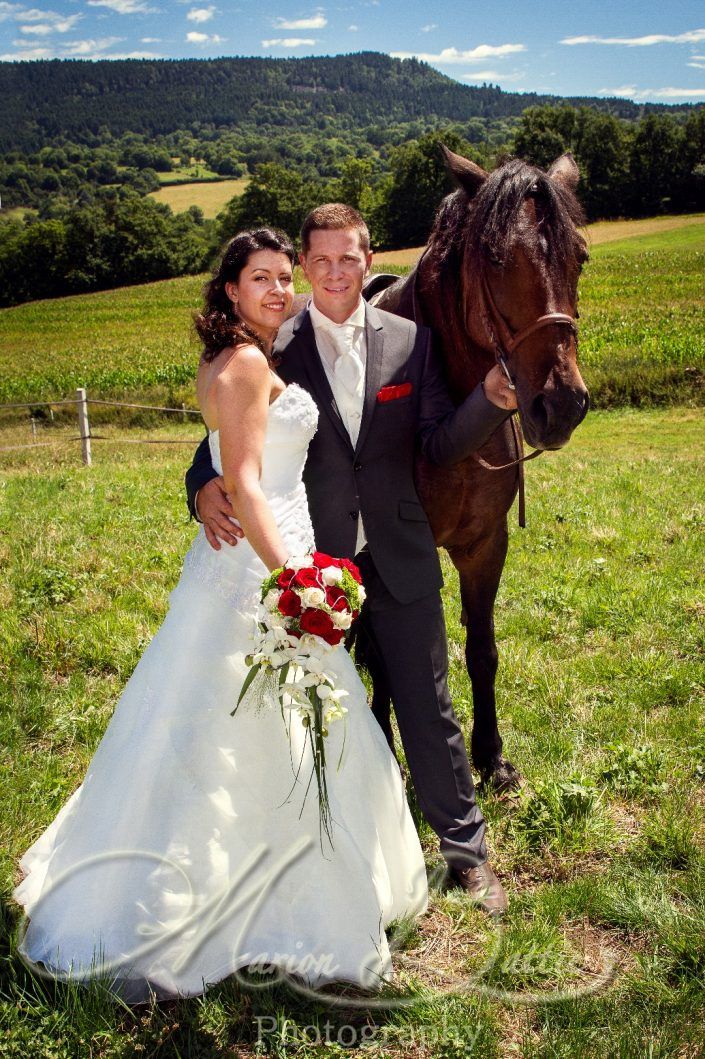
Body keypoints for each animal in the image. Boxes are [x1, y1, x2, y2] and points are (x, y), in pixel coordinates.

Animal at [362, 151, 588, 796]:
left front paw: (491, 756)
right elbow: (388, 657)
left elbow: (482, 650)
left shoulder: (485, 545)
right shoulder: (382, 562)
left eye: (580, 257)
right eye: (493, 259)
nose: (561, 405)